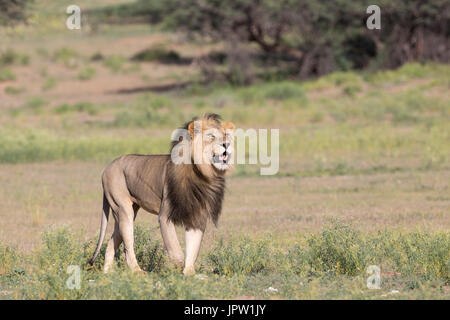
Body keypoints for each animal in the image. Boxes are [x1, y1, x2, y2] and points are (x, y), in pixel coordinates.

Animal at [89, 113, 236, 276]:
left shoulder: (197, 215)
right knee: (128, 245)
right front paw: (179, 265)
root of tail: (107, 167)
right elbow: (174, 246)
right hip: (122, 208)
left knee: (112, 240)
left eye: (226, 135)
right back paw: (137, 271)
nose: (226, 144)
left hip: (127, 211)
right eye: (211, 136)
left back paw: (107, 272)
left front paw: (189, 272)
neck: (203, 174)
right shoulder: (165, 215)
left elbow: (193, 246)